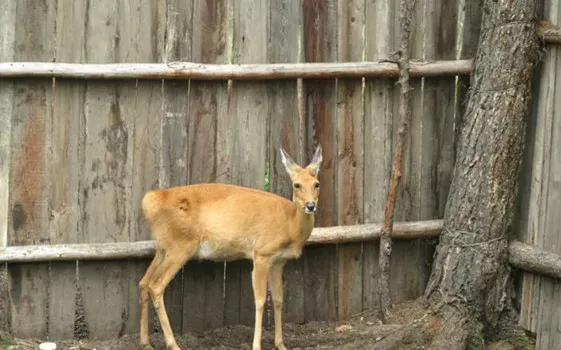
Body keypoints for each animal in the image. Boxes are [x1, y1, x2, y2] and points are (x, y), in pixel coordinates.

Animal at [139, 145, 324, 350]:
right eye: (297, 185)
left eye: (316, 183)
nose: (310, 205)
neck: (290, 223)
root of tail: (151, 201)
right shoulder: (262, 252)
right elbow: (260, 300)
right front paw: (256, 345)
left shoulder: (279, 261)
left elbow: (278, 299)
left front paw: (280, 344)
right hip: (180, 246)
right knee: (156, 285)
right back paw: (173, 344)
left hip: (163, 247)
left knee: (144, 283)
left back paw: (145, 342)